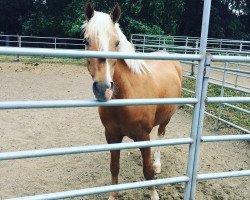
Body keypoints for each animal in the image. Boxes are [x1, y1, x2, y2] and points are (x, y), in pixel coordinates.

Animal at [83, 1, 183, 200]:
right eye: (86, 40)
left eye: (117, 43)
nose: (103, 88)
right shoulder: (112, 136)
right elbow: (114, 168)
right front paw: (113, 195)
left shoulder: (143, 136)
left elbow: (147, 171)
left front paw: (154, 194)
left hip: (166, 118)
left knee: (161, 136)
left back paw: (157, 163)